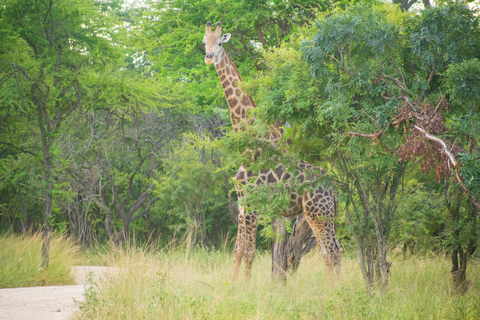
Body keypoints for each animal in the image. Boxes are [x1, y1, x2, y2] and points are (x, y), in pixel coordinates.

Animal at [202, 21, 342, 282]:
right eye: (204, 42)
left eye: (220, 43)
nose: (209, 56)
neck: (249, 142)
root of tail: (333, 190)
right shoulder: (242, 202)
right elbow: (237, 249)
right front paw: (231, 284)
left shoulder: (253, 201)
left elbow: (249, 251)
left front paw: (245, 287)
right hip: (322, 215)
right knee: (331, 250)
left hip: (318, 213)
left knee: (331, 250)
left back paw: (340, 289)